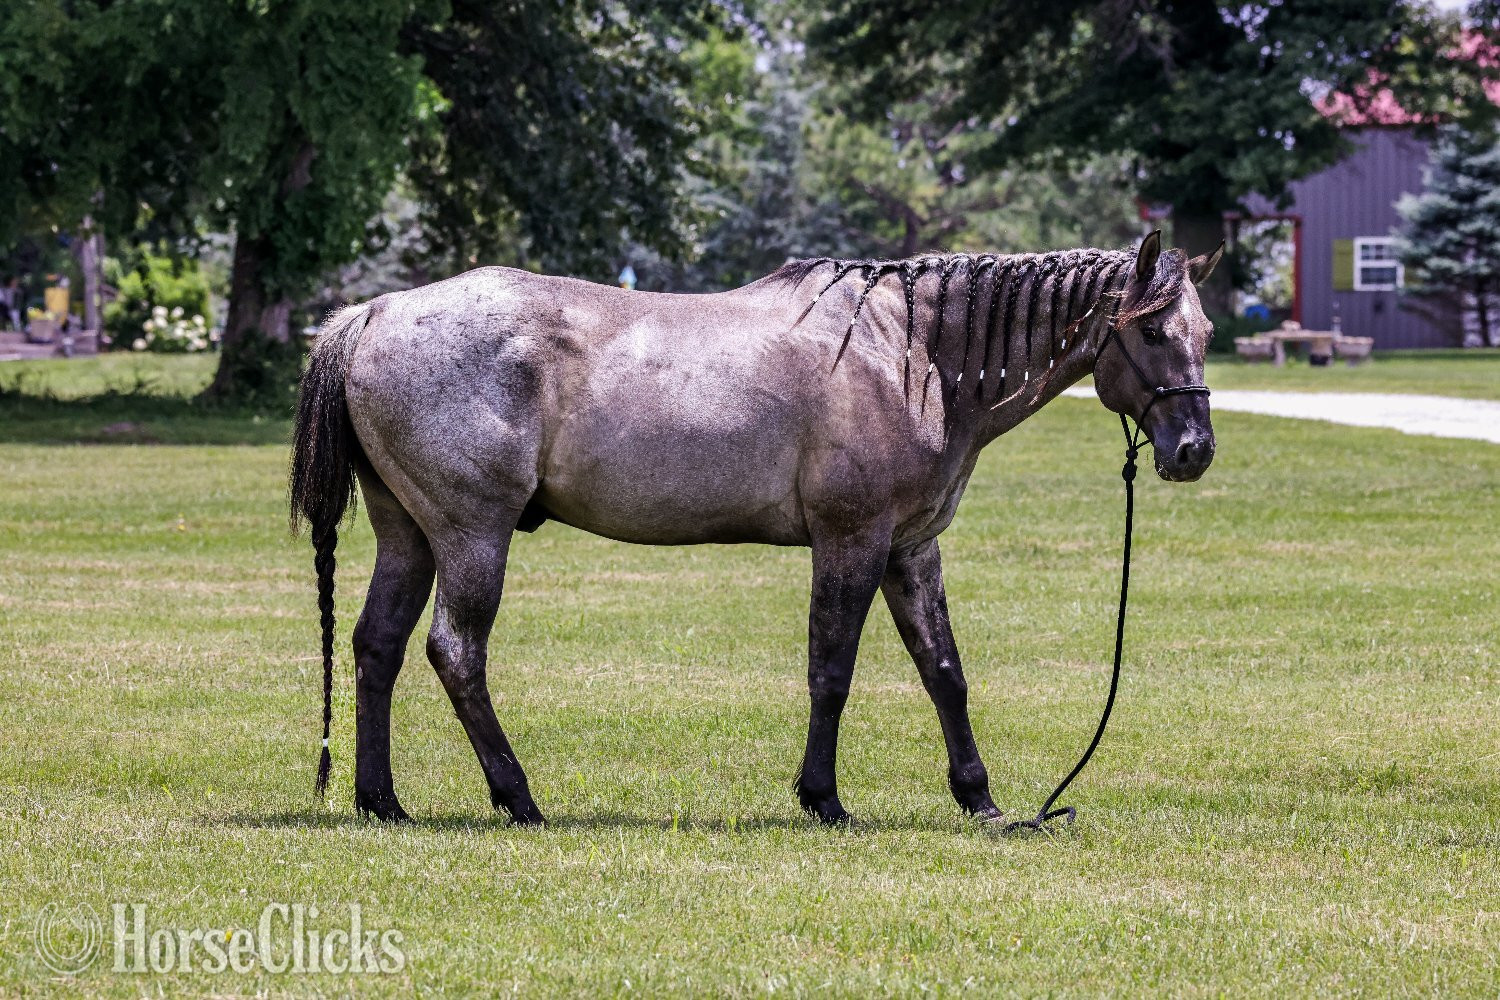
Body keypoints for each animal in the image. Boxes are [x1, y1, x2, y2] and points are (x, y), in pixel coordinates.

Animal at [289, 230, 1221, 826]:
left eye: (1206, 330)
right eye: (1151, 329)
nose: (1193, 450)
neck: (910, 352)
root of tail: (372, 313)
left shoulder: (910, 547)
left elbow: (944, 672)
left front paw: (979, 798)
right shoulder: (852, 540)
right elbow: (832, 671)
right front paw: (824, 798)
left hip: (408, 534)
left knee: (377, 648)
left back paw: (382, 801)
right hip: (471, 535)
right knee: (456, 653)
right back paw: (517, 797)